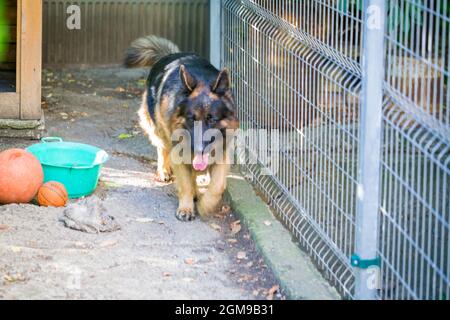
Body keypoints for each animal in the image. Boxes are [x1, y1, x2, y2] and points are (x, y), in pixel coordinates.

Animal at [125, 34, 237, 220]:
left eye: (212, 119)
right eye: (191, 119)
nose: (198, 148)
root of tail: (171, 55)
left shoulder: (222, 152)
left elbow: (217, 186)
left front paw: (205, 205)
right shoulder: (179, 150)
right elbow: (185, 183)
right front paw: (186, 207)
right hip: (157, 129)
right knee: (162, 148)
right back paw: (164, 171)